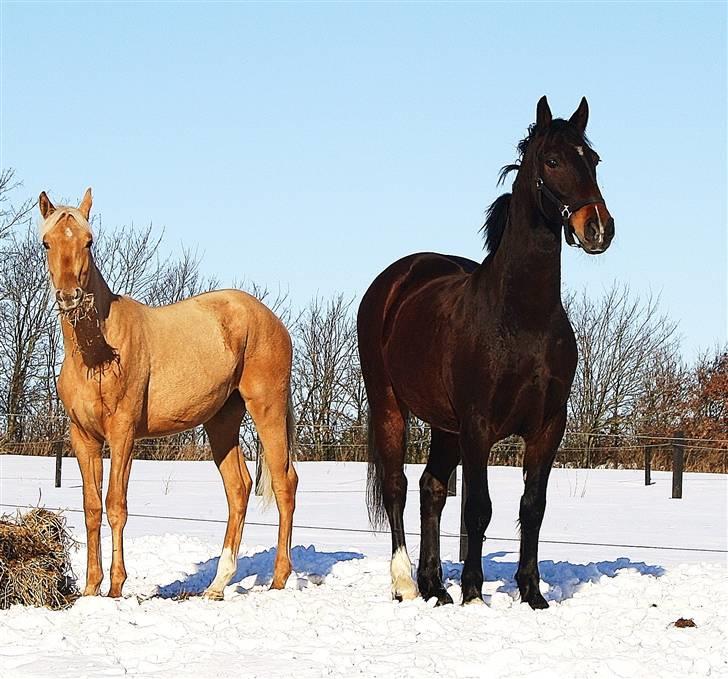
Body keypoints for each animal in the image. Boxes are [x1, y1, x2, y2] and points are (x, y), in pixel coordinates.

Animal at [36, 189, 298, 596]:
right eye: (47, 242)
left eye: (88, 241)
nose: (69, 296)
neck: (98, 354)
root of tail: (270, 319)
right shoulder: (84, 438)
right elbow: (92, 507)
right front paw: (91, 590)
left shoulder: (123, 434)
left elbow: (116, 505)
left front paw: (116, 588)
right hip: (222, 420)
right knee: (238, 489)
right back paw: (217, 586)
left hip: (266, 408)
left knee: (285, 483)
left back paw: (279, 579)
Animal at [358, 97, 616, 612]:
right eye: (552, 160)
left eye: (593, 160)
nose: (598, 228)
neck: (522, 317)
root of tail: (396, 279)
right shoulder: (479, 424)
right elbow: (479, 508)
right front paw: (475, 595)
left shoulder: (547, 426)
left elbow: (531, 507)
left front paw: (532, 594)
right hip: (389, 405)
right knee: (397, 487)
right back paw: (406, 583)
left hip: (444, 427)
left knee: (432, 489)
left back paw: (436, 586)